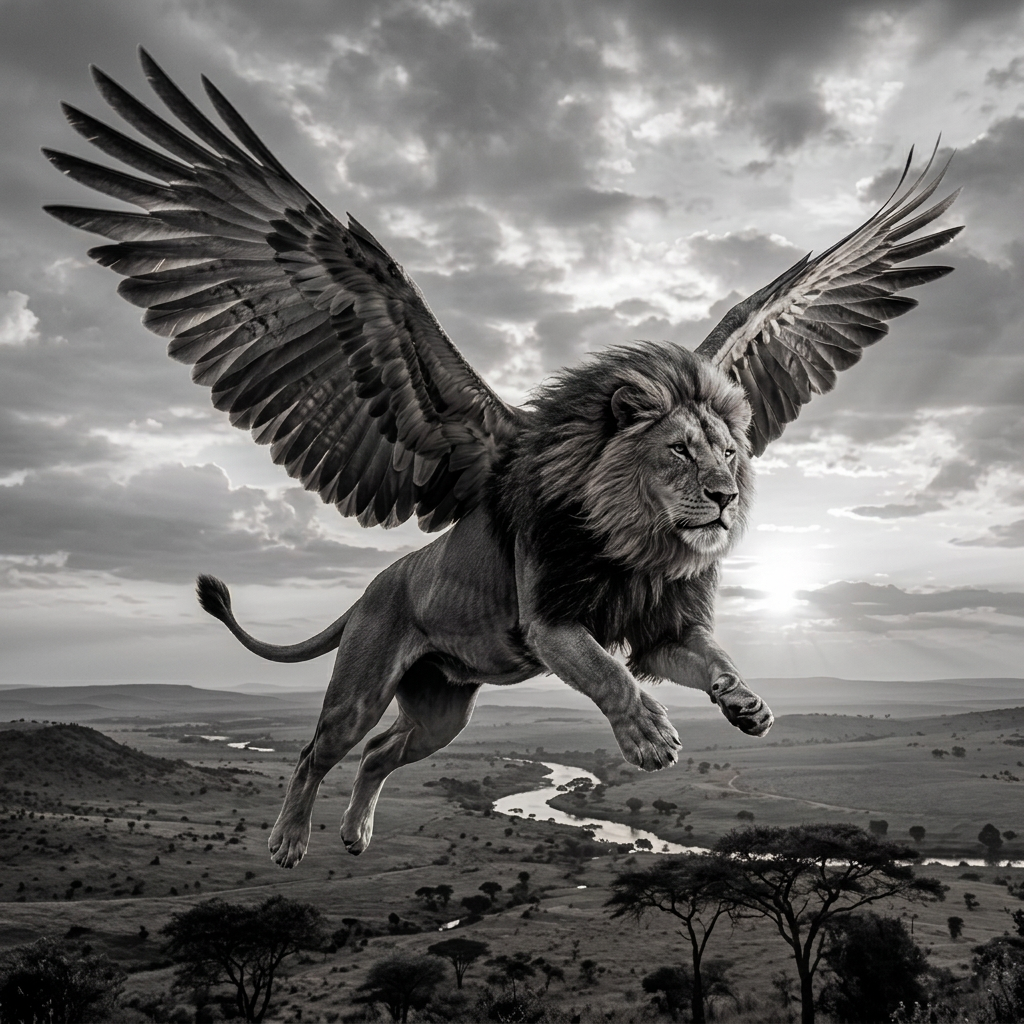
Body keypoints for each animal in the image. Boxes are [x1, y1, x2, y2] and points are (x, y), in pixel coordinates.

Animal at [47, 50, 960, 864]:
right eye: (678, 451)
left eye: (731, 451)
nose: (726, 497)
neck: (637, 542)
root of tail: (372, 587)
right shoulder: (551, 619)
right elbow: (608, 676)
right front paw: (649, 737)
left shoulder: (662, 624)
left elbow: (711, 657)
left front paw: (746, 703)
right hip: (363, 683)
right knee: (320, 749)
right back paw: (290, 841)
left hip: (444, 708)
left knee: (381, 755)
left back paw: (356, 833)